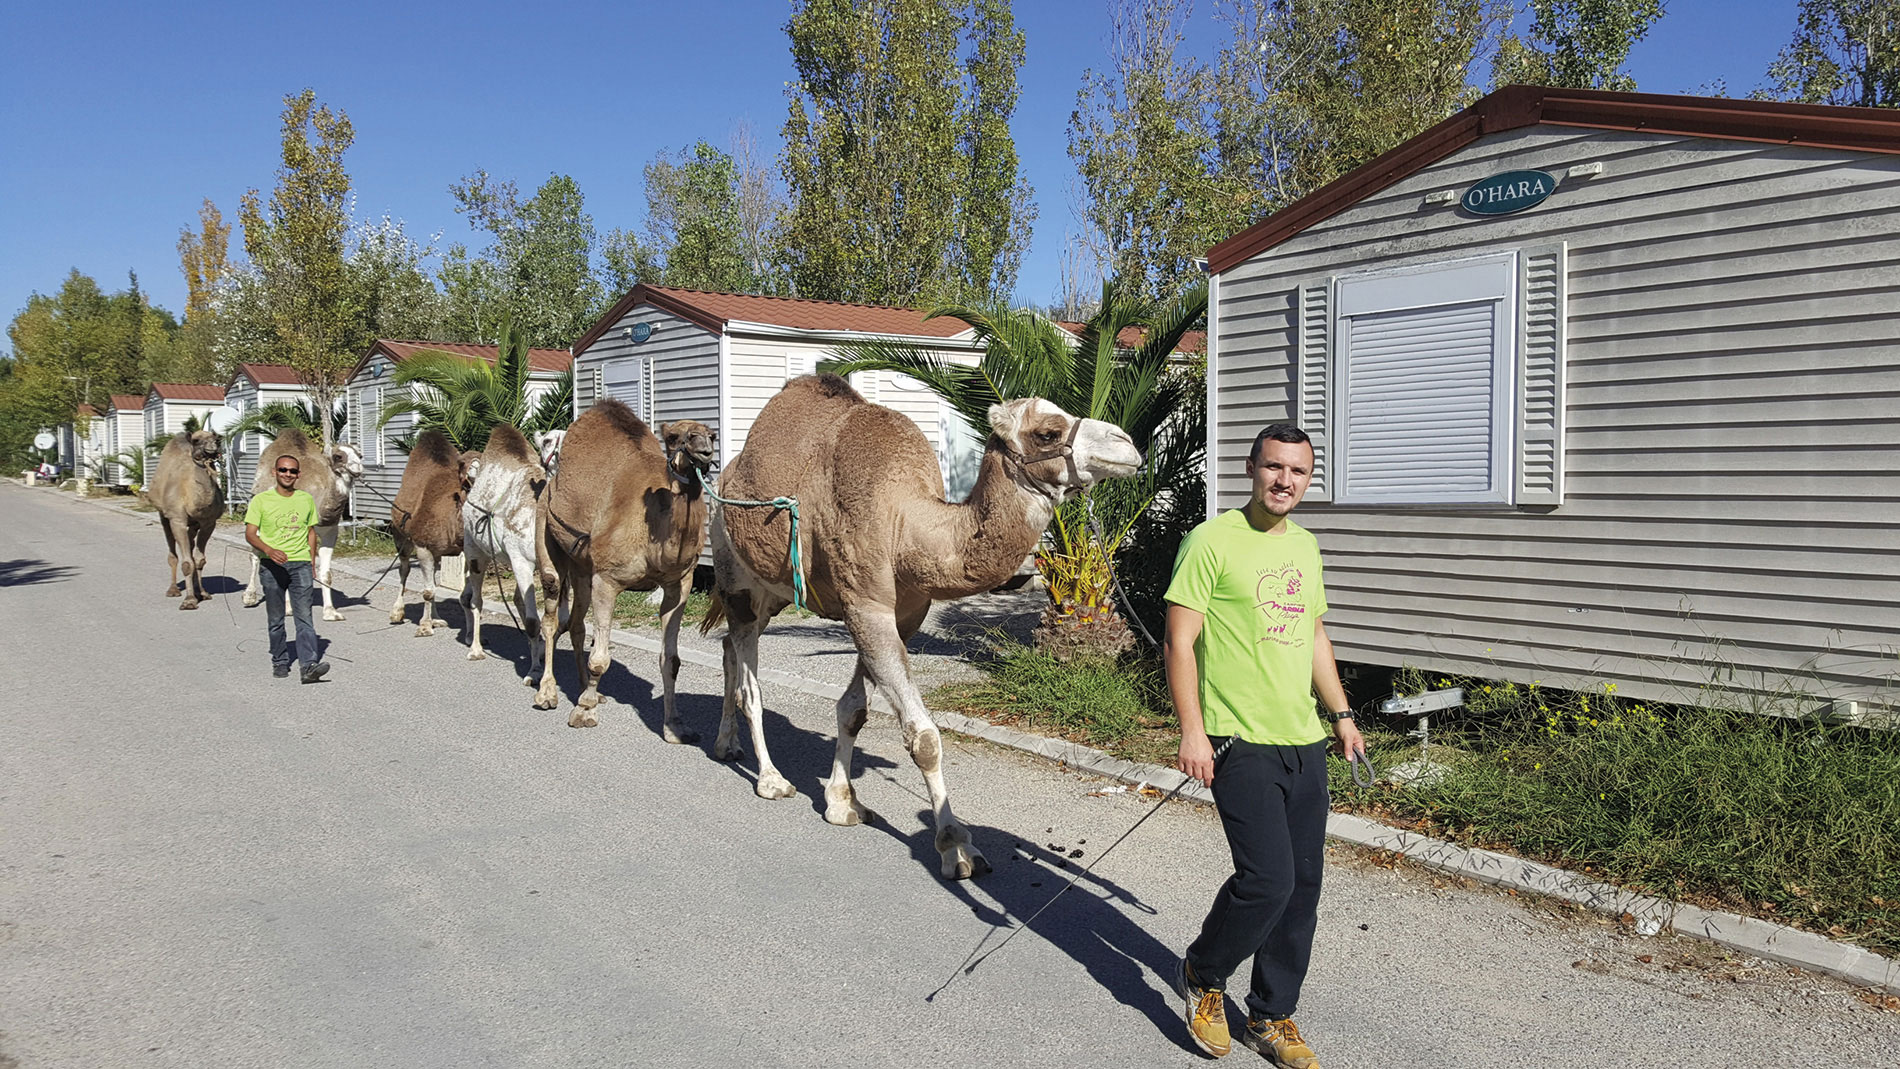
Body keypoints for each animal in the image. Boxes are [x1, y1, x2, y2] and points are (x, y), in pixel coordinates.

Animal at [150, 427, 228, 611]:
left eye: (215, 437)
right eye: (196, 440)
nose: (215, 444)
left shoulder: (209, 523)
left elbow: (199, 560)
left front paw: (203, 593)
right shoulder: (177, 519)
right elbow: (187, 563)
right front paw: (189, 600)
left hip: (193, 525)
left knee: (191, 549)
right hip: (164, 516)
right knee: (173, 553)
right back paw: (173, 590)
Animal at [385, 431, 475, 641]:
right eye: (467, 482)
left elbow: (465, 595)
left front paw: (470, 636)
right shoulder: (422, 546)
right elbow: (427, 591)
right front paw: (424, 628)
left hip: (436, 552)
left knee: (433, 579)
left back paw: (437, 618)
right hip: (401, 537)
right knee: (405, 569)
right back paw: (397, 612)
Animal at [459, 423, 551, 683]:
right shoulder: (521, 560)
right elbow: (532, 621)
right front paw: (534, 672)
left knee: (515, 599)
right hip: (474, 550)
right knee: (475, 599)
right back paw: (476, 648)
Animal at [532, 396, 714, 740]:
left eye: (711, 433)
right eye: (674, 437)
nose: (705, 451)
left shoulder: (678, 584)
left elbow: (671, 660)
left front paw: (676, 726)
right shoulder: (608, 579)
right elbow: (600, 658)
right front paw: (584, 712)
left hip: (582, 568)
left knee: (576, 622)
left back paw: (585, 689)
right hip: (546, 534)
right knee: (550, 615)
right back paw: (546, 693)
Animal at [703, 374, 1132, 877]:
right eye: (1047, 432)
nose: (1127, 444)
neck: (906, 528)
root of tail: (722, 478)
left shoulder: (901, 617)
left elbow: (854, 711)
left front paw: (842, 802)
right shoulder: (866, 606)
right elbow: (923, 736)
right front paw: (955, 846)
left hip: (771, 593)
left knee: (729, 647)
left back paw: (726, 745)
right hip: (733, 573)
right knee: (749, 679)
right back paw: (770, 779)